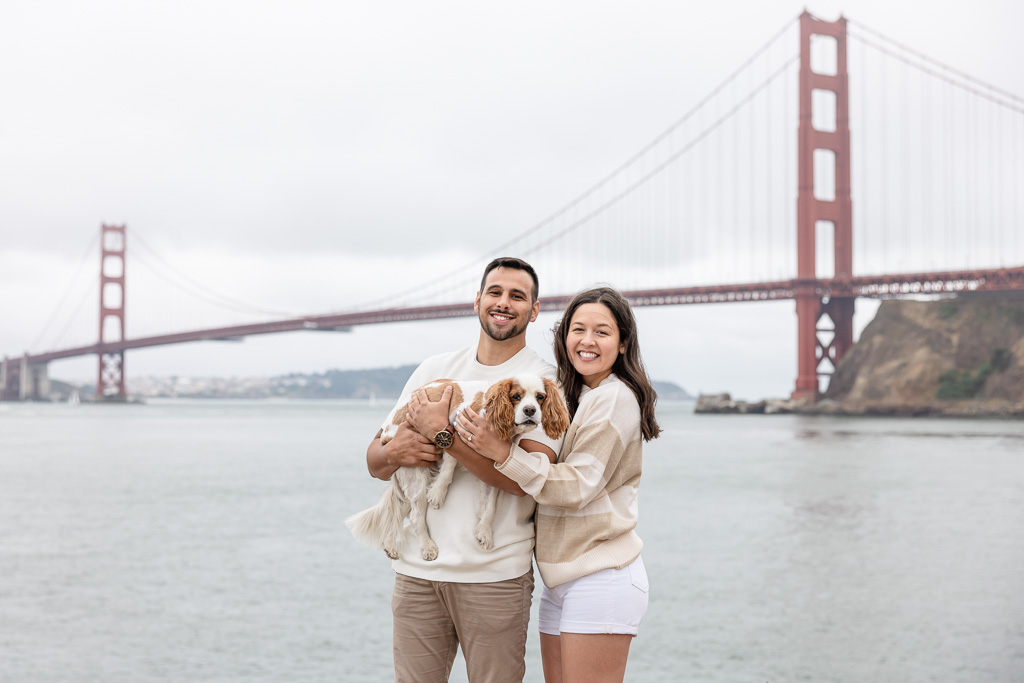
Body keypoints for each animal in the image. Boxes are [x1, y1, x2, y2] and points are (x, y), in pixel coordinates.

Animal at [344, 374, 569, 561]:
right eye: (515, 396)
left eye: (540, 397)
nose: (530, 410)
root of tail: (386, 436)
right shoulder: (457, 425)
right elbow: (450, 464)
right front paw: (438, 492)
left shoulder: (493, 466)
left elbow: (490, 506)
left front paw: (484, 532)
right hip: (416, 474)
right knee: (415, 517)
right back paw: (427, 547)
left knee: (400, 510)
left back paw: (390, 545)